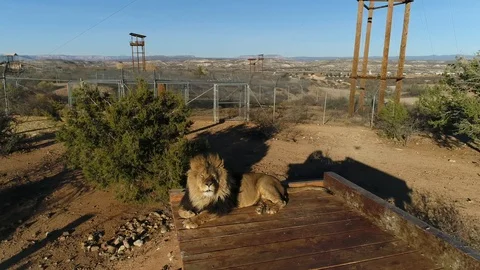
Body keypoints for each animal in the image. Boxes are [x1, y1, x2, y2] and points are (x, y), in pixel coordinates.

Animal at [178, 153, 328, 229]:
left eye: (214, 176)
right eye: (202, 176)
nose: (208, 184)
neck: (204, 196)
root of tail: (280, 183)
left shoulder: (221, 207)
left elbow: (204, 214)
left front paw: (191, 221)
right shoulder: (190, 200)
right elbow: (181, 209)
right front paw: (189, 213)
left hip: (264, 183)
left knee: (282, 201)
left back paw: (272, 209)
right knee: (269, 200)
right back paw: (262, 208)